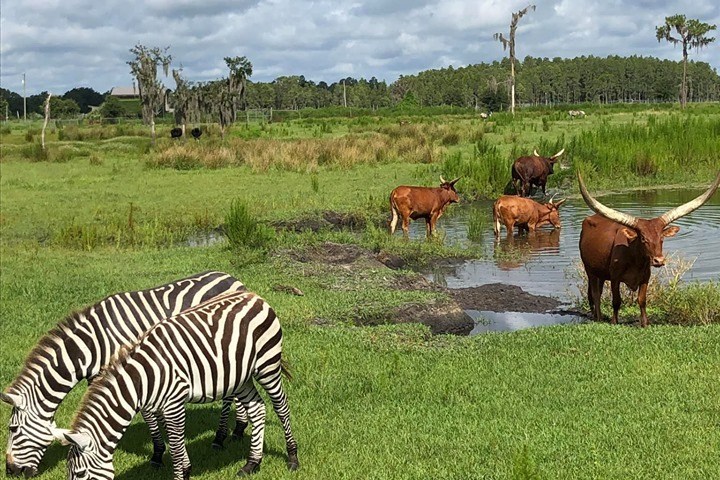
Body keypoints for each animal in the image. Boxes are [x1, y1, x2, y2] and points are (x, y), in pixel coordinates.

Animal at [2, 271, 248, 477]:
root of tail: (230, 276)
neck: (94, 344)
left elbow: (148, 416)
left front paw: (158, 454)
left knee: (229, 395)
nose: (10, 471)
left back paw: (221, 437)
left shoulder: (137, 372)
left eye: (12, 429)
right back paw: (239, 428)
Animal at [52, 290, 299, 479]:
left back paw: (292, 457)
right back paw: (252, 463)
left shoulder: (174, 405)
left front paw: (182, 471)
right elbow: (172, 442)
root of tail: (254, 296)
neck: (143, 379)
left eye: (80, 474)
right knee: (257, 409)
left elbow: (177, 448)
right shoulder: (160, 405)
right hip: (241, 377)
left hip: (267, 364)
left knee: (281, 407)